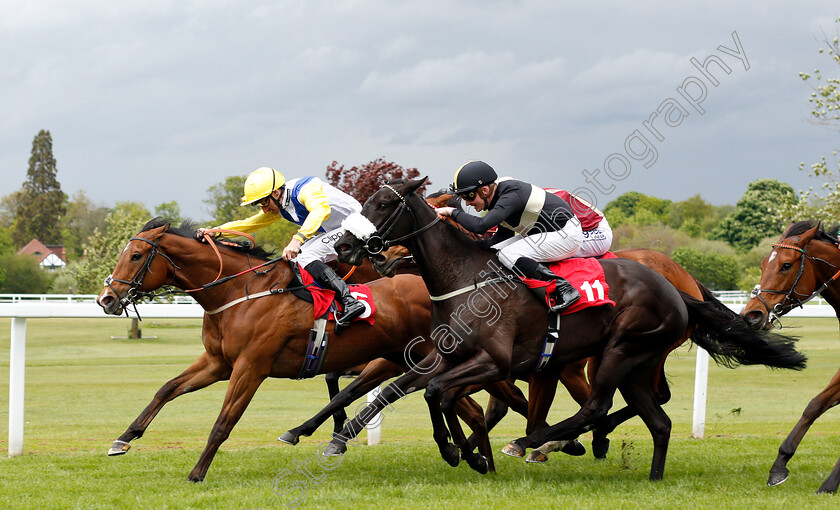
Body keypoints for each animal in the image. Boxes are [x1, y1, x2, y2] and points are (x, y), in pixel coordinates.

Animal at [98, 217, 524, 480]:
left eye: (136, 256)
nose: (106, 299)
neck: (238, 292)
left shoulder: (251, 367)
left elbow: (223, 422)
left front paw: (197, 473)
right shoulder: (218, 362)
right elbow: (167, 389)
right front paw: (124, 438)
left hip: (431, 356)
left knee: (472, 400)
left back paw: (486, 454)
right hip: (407, 358)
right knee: (462, 405)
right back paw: (477, 459)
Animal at [330, 177, 808, 480]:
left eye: (383, 205)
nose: (346, 245)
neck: (465, 278)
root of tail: (676, 289)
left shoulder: (496, 362)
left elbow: (439, 393)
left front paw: (465, 452)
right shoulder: (447, 356)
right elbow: (420, 390)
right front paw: (455, 451)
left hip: (620, 350)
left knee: (598, 406)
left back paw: (539, 442)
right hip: (637, 362)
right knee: (657, 419)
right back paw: (646, 474)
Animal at [740, 221, 840, 492]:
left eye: (786, 265)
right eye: (763, 264)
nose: (751, 315)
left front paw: (830, 482)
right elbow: (814, 405)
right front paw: (779, 465)